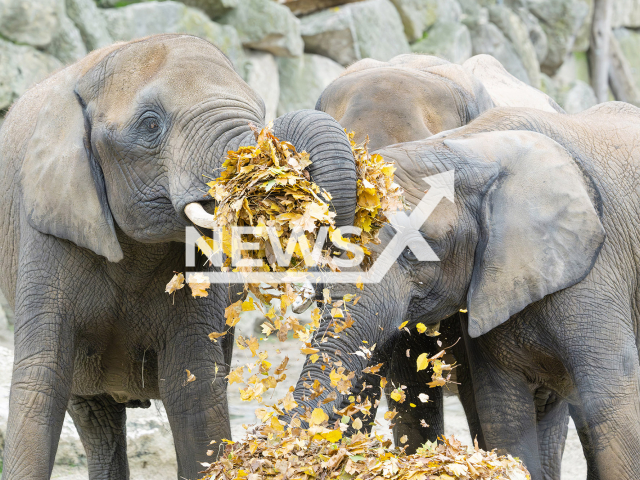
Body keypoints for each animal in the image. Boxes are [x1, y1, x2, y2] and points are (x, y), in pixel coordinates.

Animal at [0, 34, 358, 480]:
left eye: (260, 111)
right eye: (151, 124)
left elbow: (195, 391)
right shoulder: (47, 230)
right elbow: (41, 382)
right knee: (93, 414)